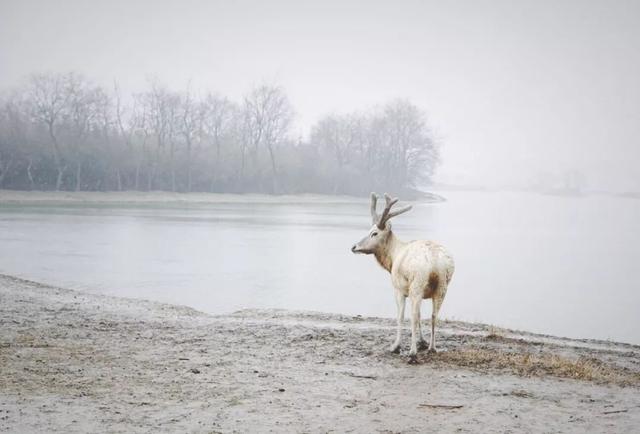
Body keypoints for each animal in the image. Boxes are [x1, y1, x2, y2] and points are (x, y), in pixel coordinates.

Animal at [350, 193, 456, 362]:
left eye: (374, 233)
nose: (354, 247)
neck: (392, 259)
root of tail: (435, 262)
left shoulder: (398, 288)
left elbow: (400, 316)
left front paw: (395, 346)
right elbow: (421, 315)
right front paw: (422, 342)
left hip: (417, 284)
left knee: (413, 316)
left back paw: (412, 353)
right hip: (442, 286)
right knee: (434, 315)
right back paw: (432, 347)